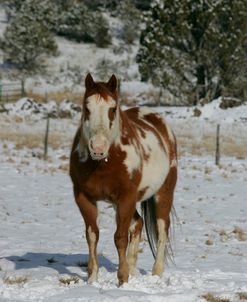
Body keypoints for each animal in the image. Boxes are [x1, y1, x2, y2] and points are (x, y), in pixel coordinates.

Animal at [69, 73, 178, 286]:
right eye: (87, 108)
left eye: (112, 109)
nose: (98, 147)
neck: (104, 162)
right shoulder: (84, 197)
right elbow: (92, 235)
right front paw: (92, 278)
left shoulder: (125, 197)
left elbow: (119, 237)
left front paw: (122, 279)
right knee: (138, 223)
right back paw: (133, 269)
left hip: (163, 194)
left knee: (162, 229)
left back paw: (156, 272)